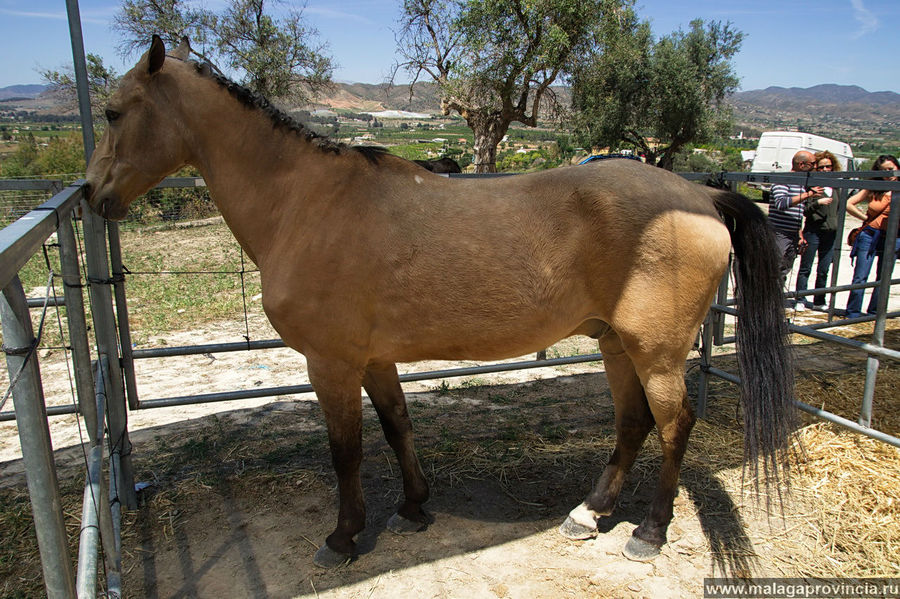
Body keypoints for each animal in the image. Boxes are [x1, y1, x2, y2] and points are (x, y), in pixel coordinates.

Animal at [84, 37, 792, 568]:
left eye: (114, 112)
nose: (92, 195)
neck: (307, 204)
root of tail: (699, 197)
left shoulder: (331, 363)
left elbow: (346, 450)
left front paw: (343, 537)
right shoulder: (373, 359)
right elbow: (398, 425)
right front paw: (414, 507)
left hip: (657, 351)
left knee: (674, 425)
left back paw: (649, 533)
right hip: (616, 343)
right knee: (632, 423)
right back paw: (589, 514)